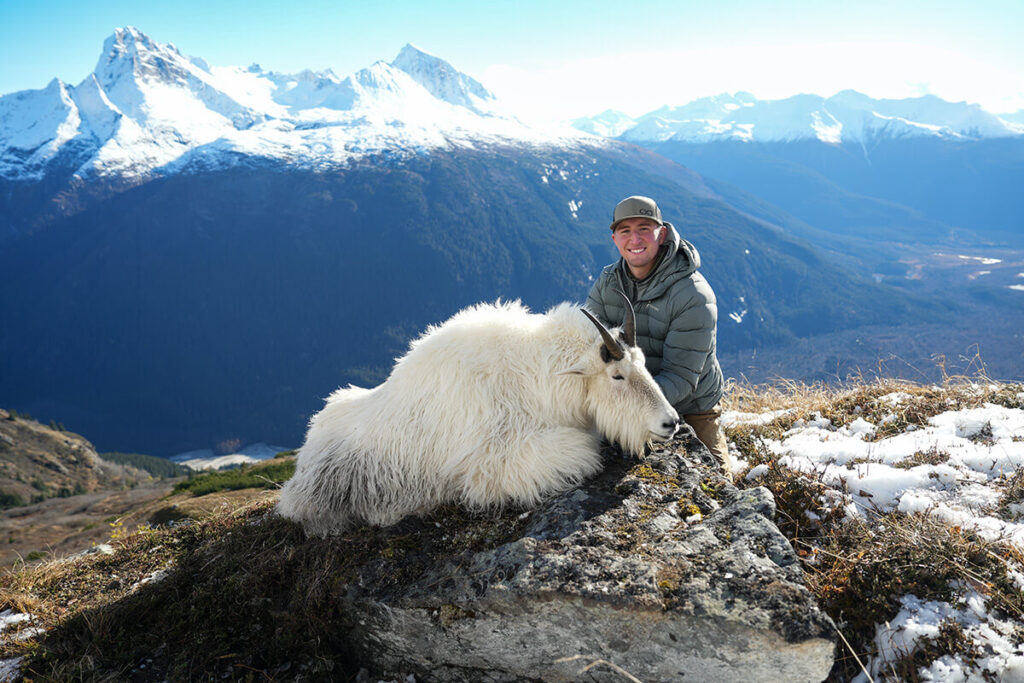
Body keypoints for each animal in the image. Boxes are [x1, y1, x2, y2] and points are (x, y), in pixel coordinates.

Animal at [278, 294, 679, 532]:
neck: (534, 376)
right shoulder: (491, 463)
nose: (670, 423)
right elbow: (584, 450)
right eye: (616, 375)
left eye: (643, 362)